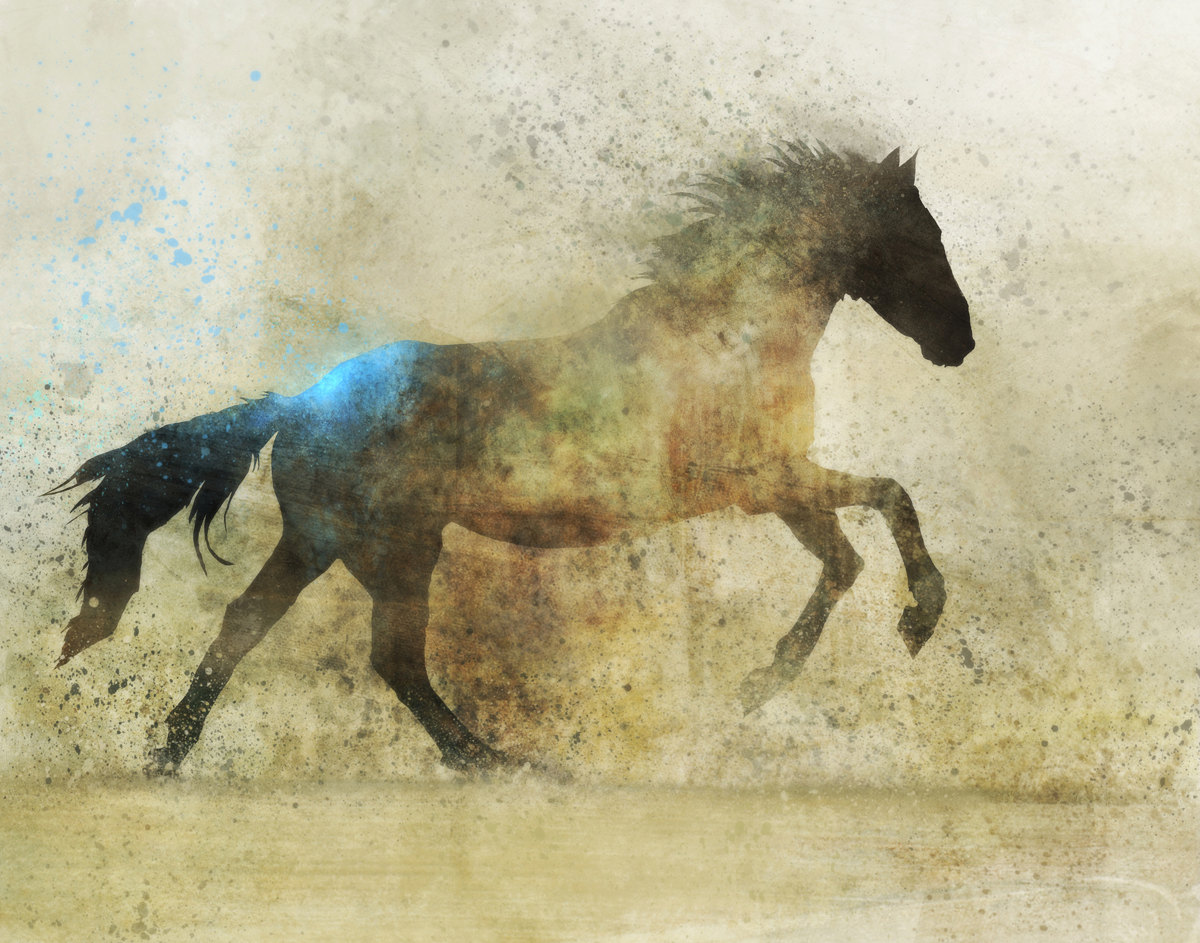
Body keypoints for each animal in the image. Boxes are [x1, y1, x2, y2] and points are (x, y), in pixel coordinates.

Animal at [47, 141, 974, 773]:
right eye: (920, 234)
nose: (959, 343)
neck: (729, 336)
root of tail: (302, 400)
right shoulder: (759, 480)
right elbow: (889, 501)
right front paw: (916, 620)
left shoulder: (774, 487)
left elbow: (848, 554)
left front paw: (765, 681)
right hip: (389, 545)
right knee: (387, 654)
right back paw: (495, 760)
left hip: (331, 542)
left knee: (264, 625)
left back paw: (172, 751)